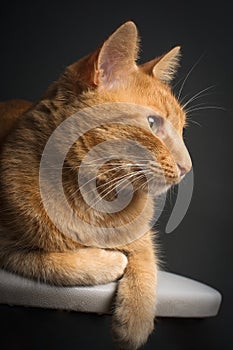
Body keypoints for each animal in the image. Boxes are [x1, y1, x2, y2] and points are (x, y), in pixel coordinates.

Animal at [0, 22, 191, 350]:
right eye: (152, 123)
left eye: (182, 129)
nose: (187, 167)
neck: (96, 198)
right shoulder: (7, 248)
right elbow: (52, 263)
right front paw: (109, 261)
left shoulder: (142, 236)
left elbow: (146, 260)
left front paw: (136, 318)